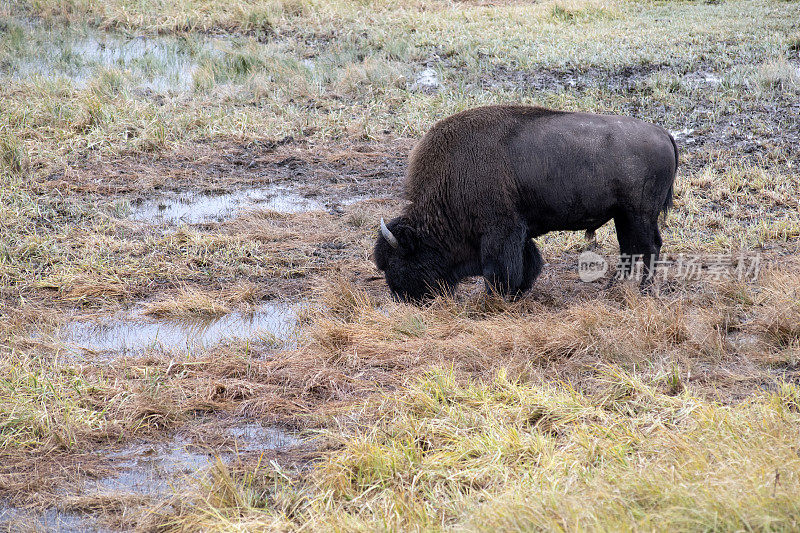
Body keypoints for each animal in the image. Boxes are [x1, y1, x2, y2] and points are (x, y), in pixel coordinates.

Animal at [374, 106, 676, 302]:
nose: (403, 299)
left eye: (398, 261)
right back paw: (613, 288)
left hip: (639, 213)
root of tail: (664, 134)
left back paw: (645, 291)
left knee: (649, 247)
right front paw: (518, 291)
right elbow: (528, 260)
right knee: (631, 248)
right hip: (624, 216)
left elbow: (501, 268)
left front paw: (498, 297)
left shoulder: (500, 232)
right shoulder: (518, 232)